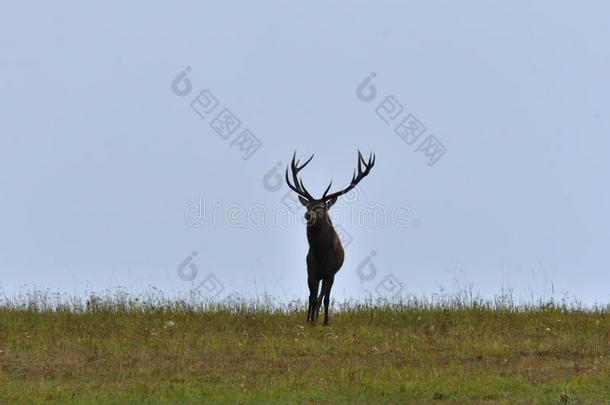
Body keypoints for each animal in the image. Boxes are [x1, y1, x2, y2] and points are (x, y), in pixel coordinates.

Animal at [286, 150, 376, 324]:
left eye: (321, 207)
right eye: (307, 206)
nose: (308, 215)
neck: (321, 256)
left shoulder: (331, 272)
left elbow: (325, 299)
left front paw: (325, 322)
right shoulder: (311, 271)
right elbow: (312, 298)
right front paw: (309, 322)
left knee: (321, 296)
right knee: (313, 297)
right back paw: (311, 318)